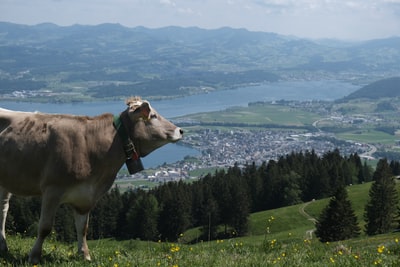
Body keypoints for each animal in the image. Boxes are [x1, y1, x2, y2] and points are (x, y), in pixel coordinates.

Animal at [0, 97, 184, 264]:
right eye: (153, 116)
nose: (181, 130)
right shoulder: (52, 189)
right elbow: (45, 227)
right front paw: (34, 256)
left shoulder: (86, 195)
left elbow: (83, 228)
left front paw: (84, 255)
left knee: (3, 209)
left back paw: (3, 246)